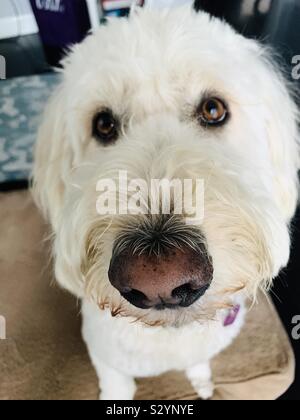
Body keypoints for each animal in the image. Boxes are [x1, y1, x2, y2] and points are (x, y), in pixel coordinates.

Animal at [31, 5, 298, 400]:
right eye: (104, 124)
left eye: (213, 109)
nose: (160, 278)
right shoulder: (106, 359)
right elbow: (116, 386)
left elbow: (199, 365)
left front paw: (203, 383)